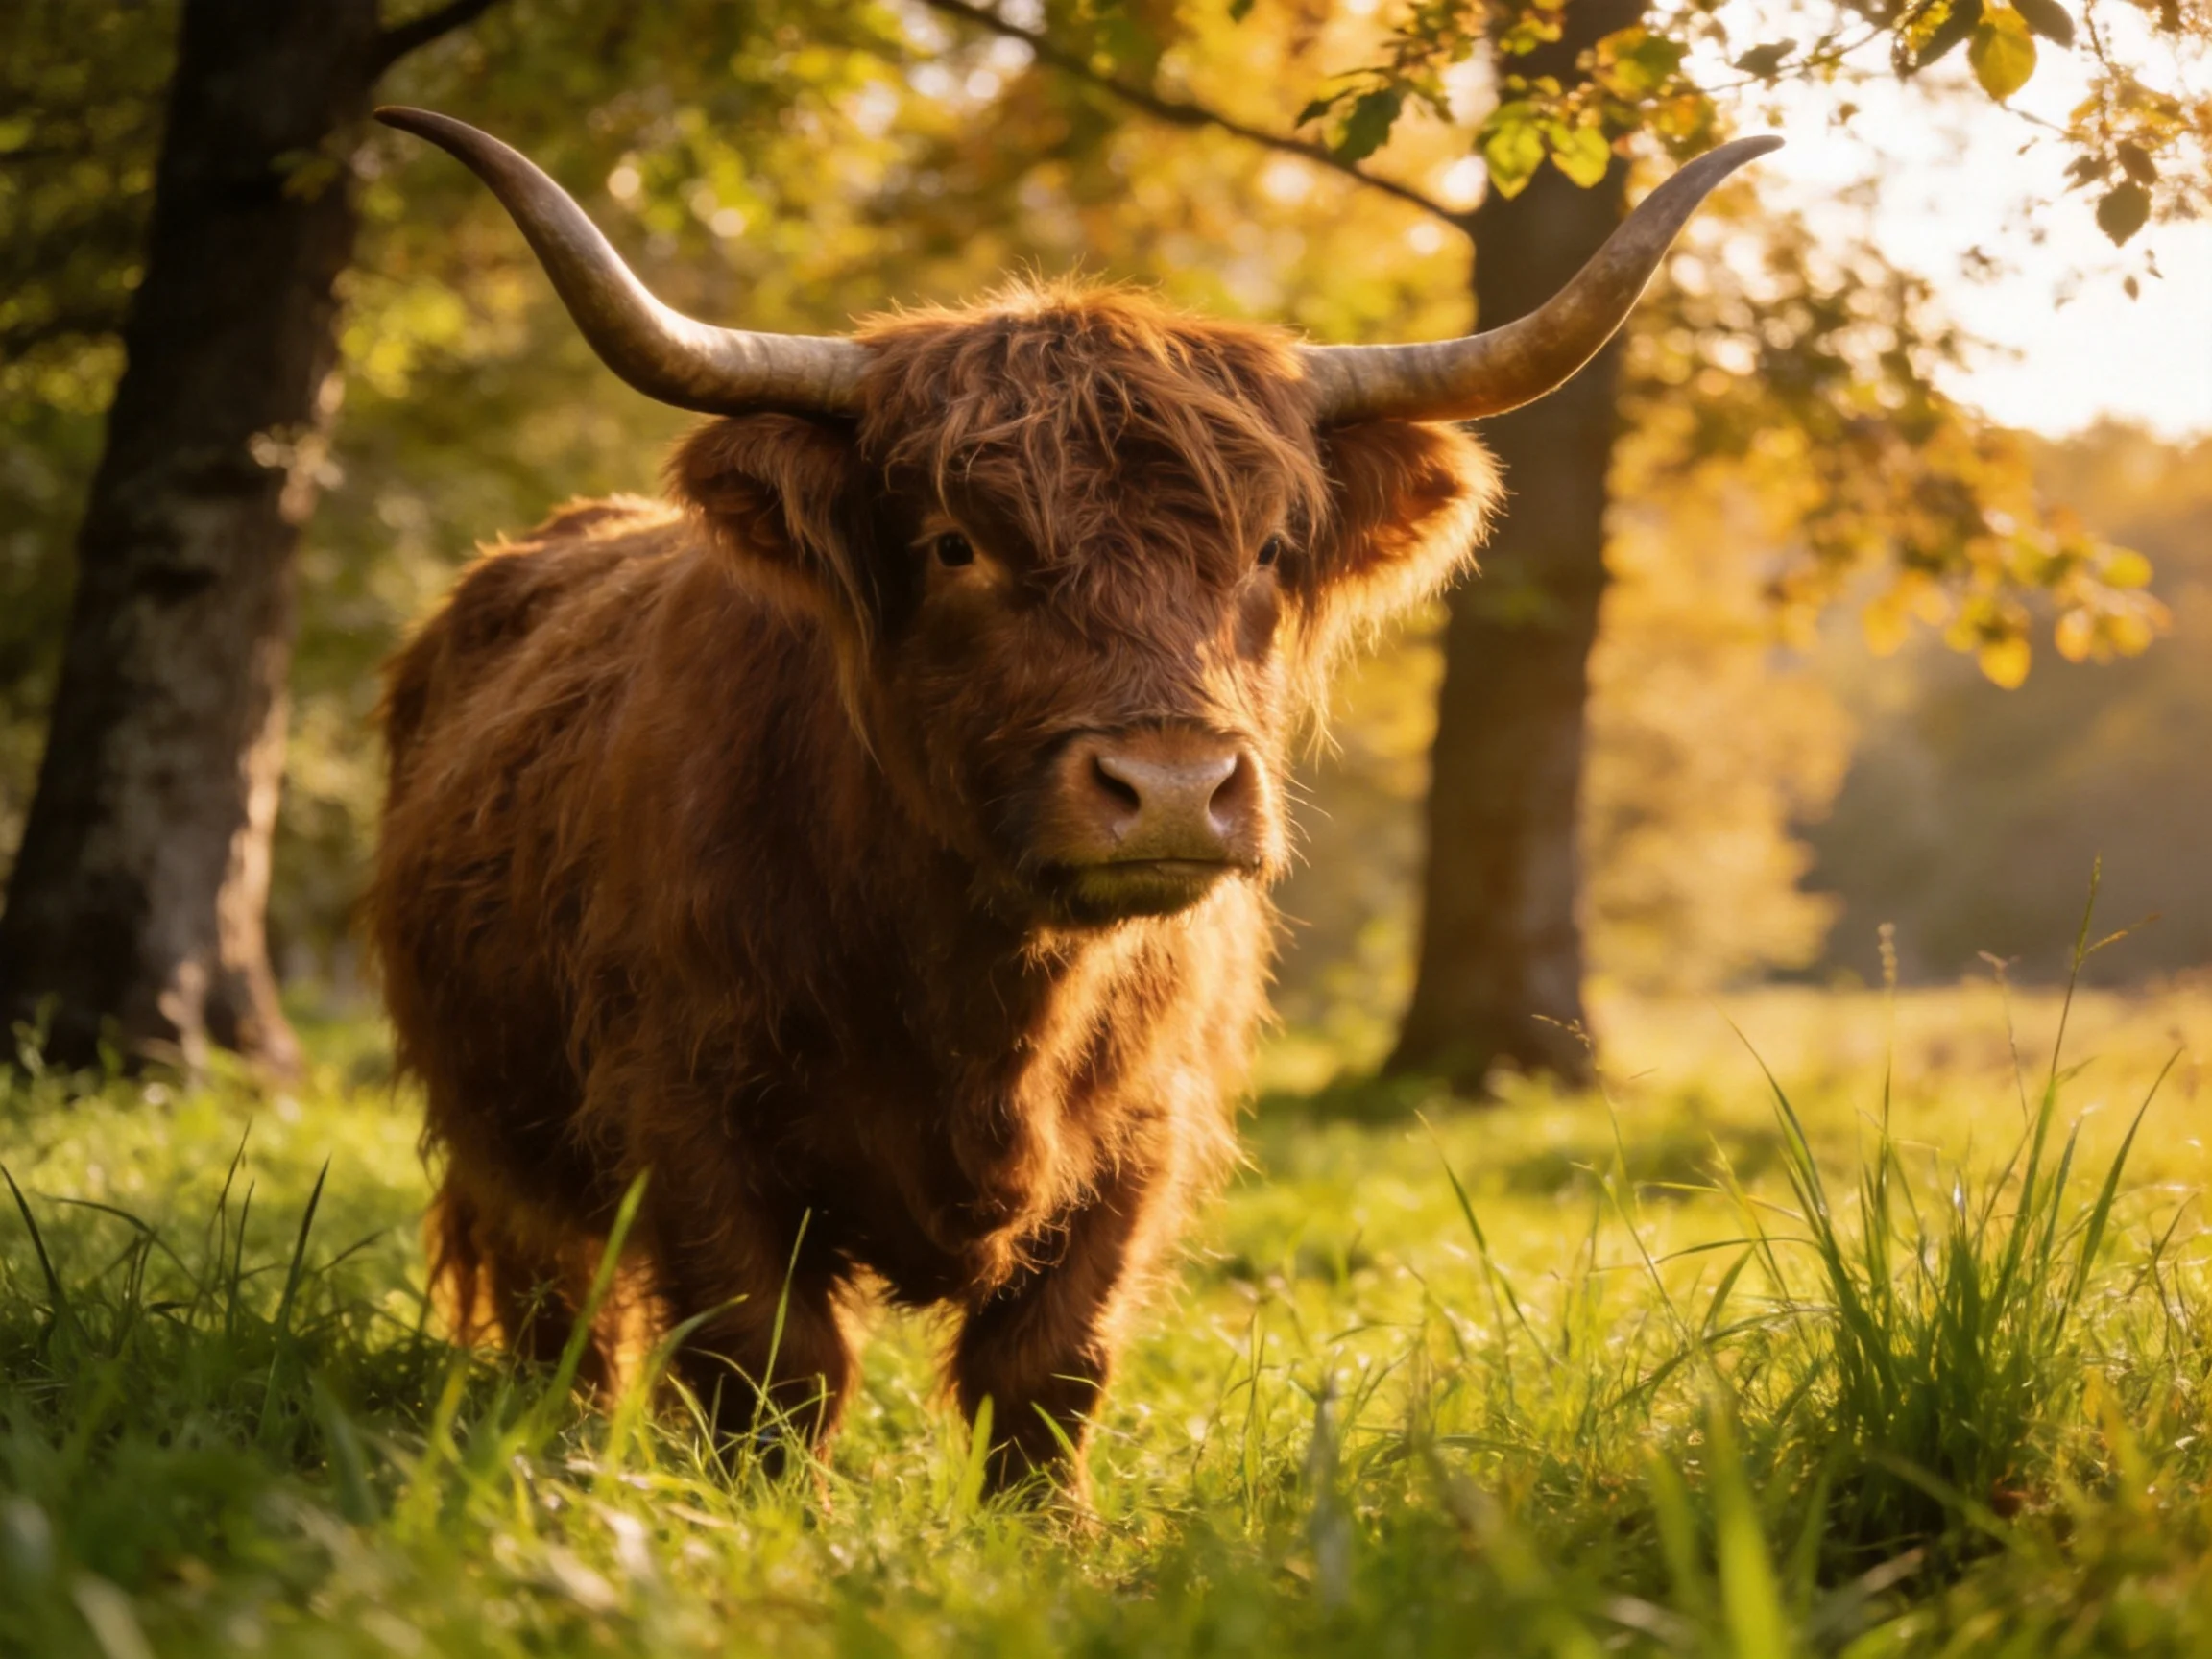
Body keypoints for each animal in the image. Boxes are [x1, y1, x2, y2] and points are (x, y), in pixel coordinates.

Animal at [367, 106, 1774, 1494]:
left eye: (1269, 548)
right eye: (954, 544)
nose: (1172, 789)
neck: (990, 993)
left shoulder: (1145, 1128)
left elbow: (1049, 1368)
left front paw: (1047, 1538)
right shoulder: (684, 1106)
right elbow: (771, 1366)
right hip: (502, 1133)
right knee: (559, 1311)